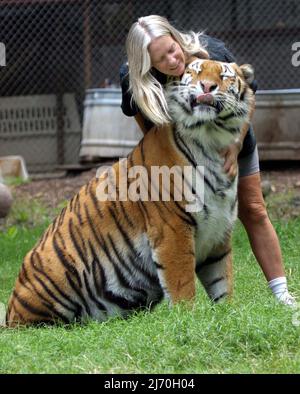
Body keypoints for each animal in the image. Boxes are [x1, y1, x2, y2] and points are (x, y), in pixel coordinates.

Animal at [4, 58, 254, 326]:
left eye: (223, 75)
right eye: (194, 72)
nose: (207, 86)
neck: (212, 138)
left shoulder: (219, 231)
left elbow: (223, 280)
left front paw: (229, 314)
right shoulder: (173, 228)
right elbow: (182, 284)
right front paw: (188, 318)